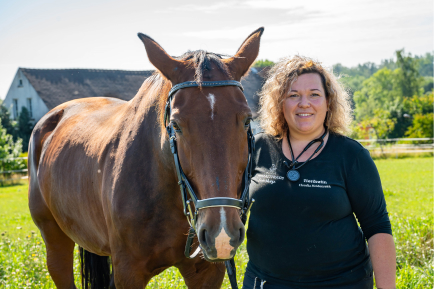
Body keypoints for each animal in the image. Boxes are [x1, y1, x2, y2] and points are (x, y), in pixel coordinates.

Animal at [28, 27, 264, 288]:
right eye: (176, 125)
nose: (221, 233)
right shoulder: (128, 271)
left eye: (247, 120)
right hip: (54, 239)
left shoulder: (207, 271)